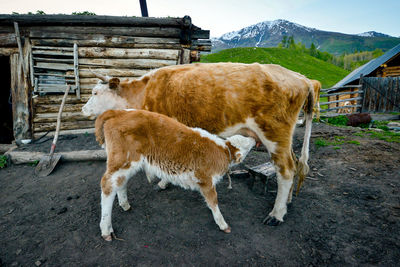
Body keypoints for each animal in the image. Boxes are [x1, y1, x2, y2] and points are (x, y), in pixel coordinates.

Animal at [83, 62, 316, 226]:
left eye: (95, 93)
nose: (83, 110)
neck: (145, 91)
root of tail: (301, 77)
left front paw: (163, 181)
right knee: (295, 164)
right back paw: (287, 201)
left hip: (274, 135)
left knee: (286, 170)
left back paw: (276, 213)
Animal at [95, 109, 255, 241]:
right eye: (247, 143)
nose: (254, 139)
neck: (222, 150)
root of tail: (118, 111)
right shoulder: (206, 180)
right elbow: (213, 201)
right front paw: (222, 224)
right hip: (123, 160)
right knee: (107, 184)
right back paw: (106, 229)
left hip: (127, 164)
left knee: (120, 182)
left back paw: (125, 205)